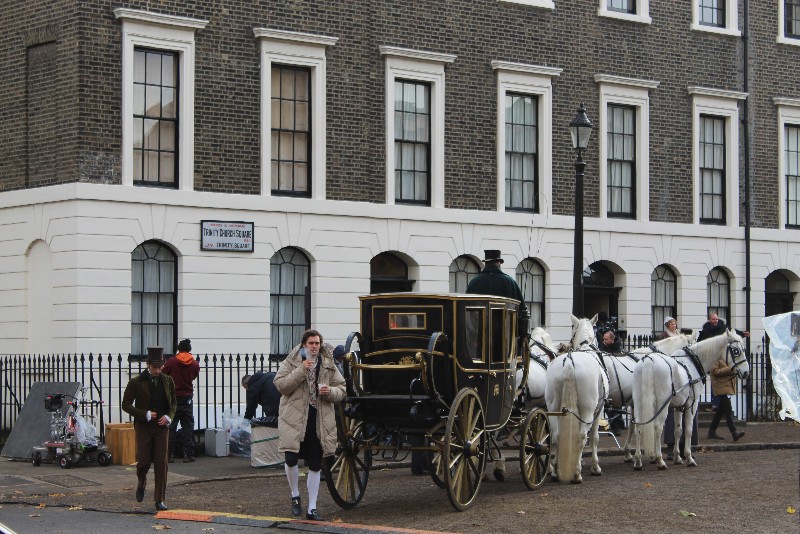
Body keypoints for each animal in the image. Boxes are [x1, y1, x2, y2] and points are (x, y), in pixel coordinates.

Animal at [548, 322, 608, 486]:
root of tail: (569, 361)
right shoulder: (598, 410)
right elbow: (594, 437)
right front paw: (595, 467)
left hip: (553, 409)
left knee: (557, 436)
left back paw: (555, 472)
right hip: (587, 411)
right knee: (582, 437)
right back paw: (576, 474)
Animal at [632, 330, 752, 474]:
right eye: (736, 351)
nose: (746, 372)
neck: (692, 363)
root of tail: (648, 361)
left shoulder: (678, 406)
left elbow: (678, 430)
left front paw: (678, 457)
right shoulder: (691, 404)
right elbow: (688, 430)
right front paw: (689, 458)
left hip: (639, 403)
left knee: (638, 428)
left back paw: (638, 461)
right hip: (661, 405)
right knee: (657, 428)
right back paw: (660, 460)